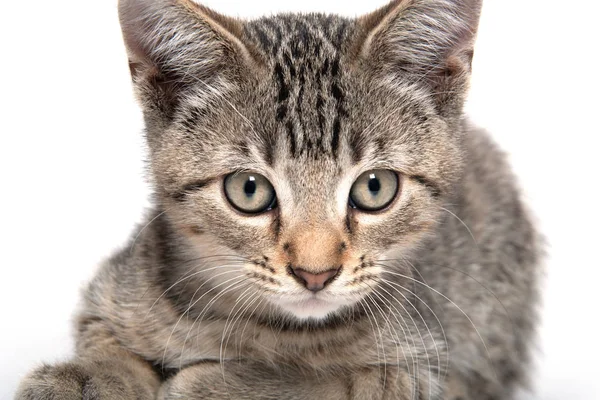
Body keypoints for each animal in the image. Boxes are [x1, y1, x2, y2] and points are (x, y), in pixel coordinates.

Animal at [15, 0, 540, 398]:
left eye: (374, 188)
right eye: (249, 190)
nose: (315, 274)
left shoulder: (432, 371)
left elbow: (335, 381)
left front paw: (226, 383)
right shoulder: (110, 292)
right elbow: (106, 341)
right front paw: (88, 377)